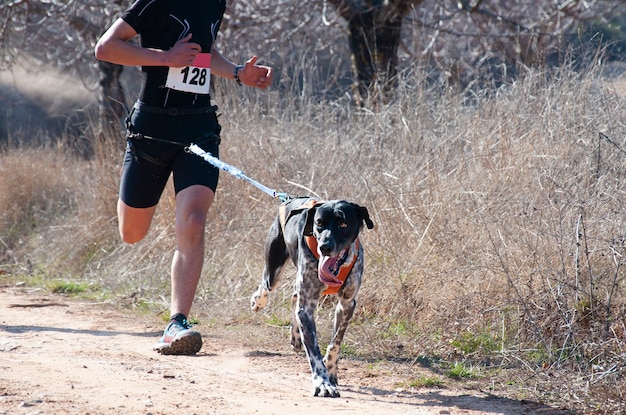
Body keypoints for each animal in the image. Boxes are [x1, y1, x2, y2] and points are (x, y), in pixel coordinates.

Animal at [251, 198, 372, 400]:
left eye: (343, 224)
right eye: (319, 224)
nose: (324, 247)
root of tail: (290, 199)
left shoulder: (346, 304)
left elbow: (334, 344)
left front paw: (330, 372)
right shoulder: (307, 307)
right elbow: (314, 353)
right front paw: (322, 383)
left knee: (294, 295)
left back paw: (295, 335)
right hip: (274, 270)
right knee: (266, 285)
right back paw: (257, 301)